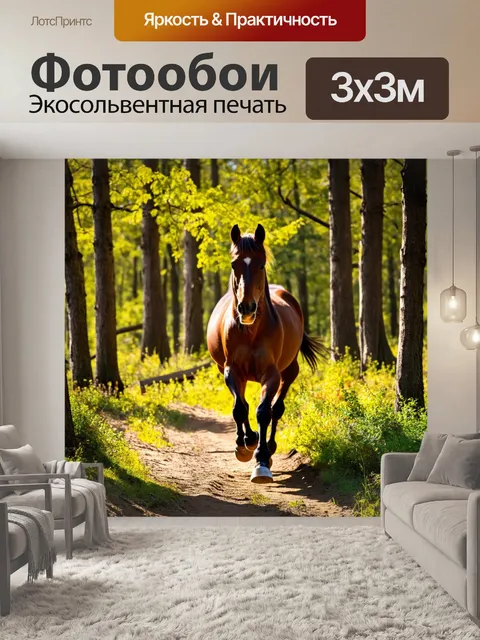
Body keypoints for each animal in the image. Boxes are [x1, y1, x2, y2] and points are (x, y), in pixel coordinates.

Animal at [206, 223, 326, 484]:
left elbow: (264, 412)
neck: (251, 331)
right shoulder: (232, 370)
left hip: (289, 371)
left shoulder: (270, 374)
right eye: (234, 264)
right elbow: (240, 408)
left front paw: (261, 460)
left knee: (276, 409)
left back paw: (269, 448)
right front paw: (245, 444)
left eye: (261, 264)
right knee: (244, 405)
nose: (247, 308)